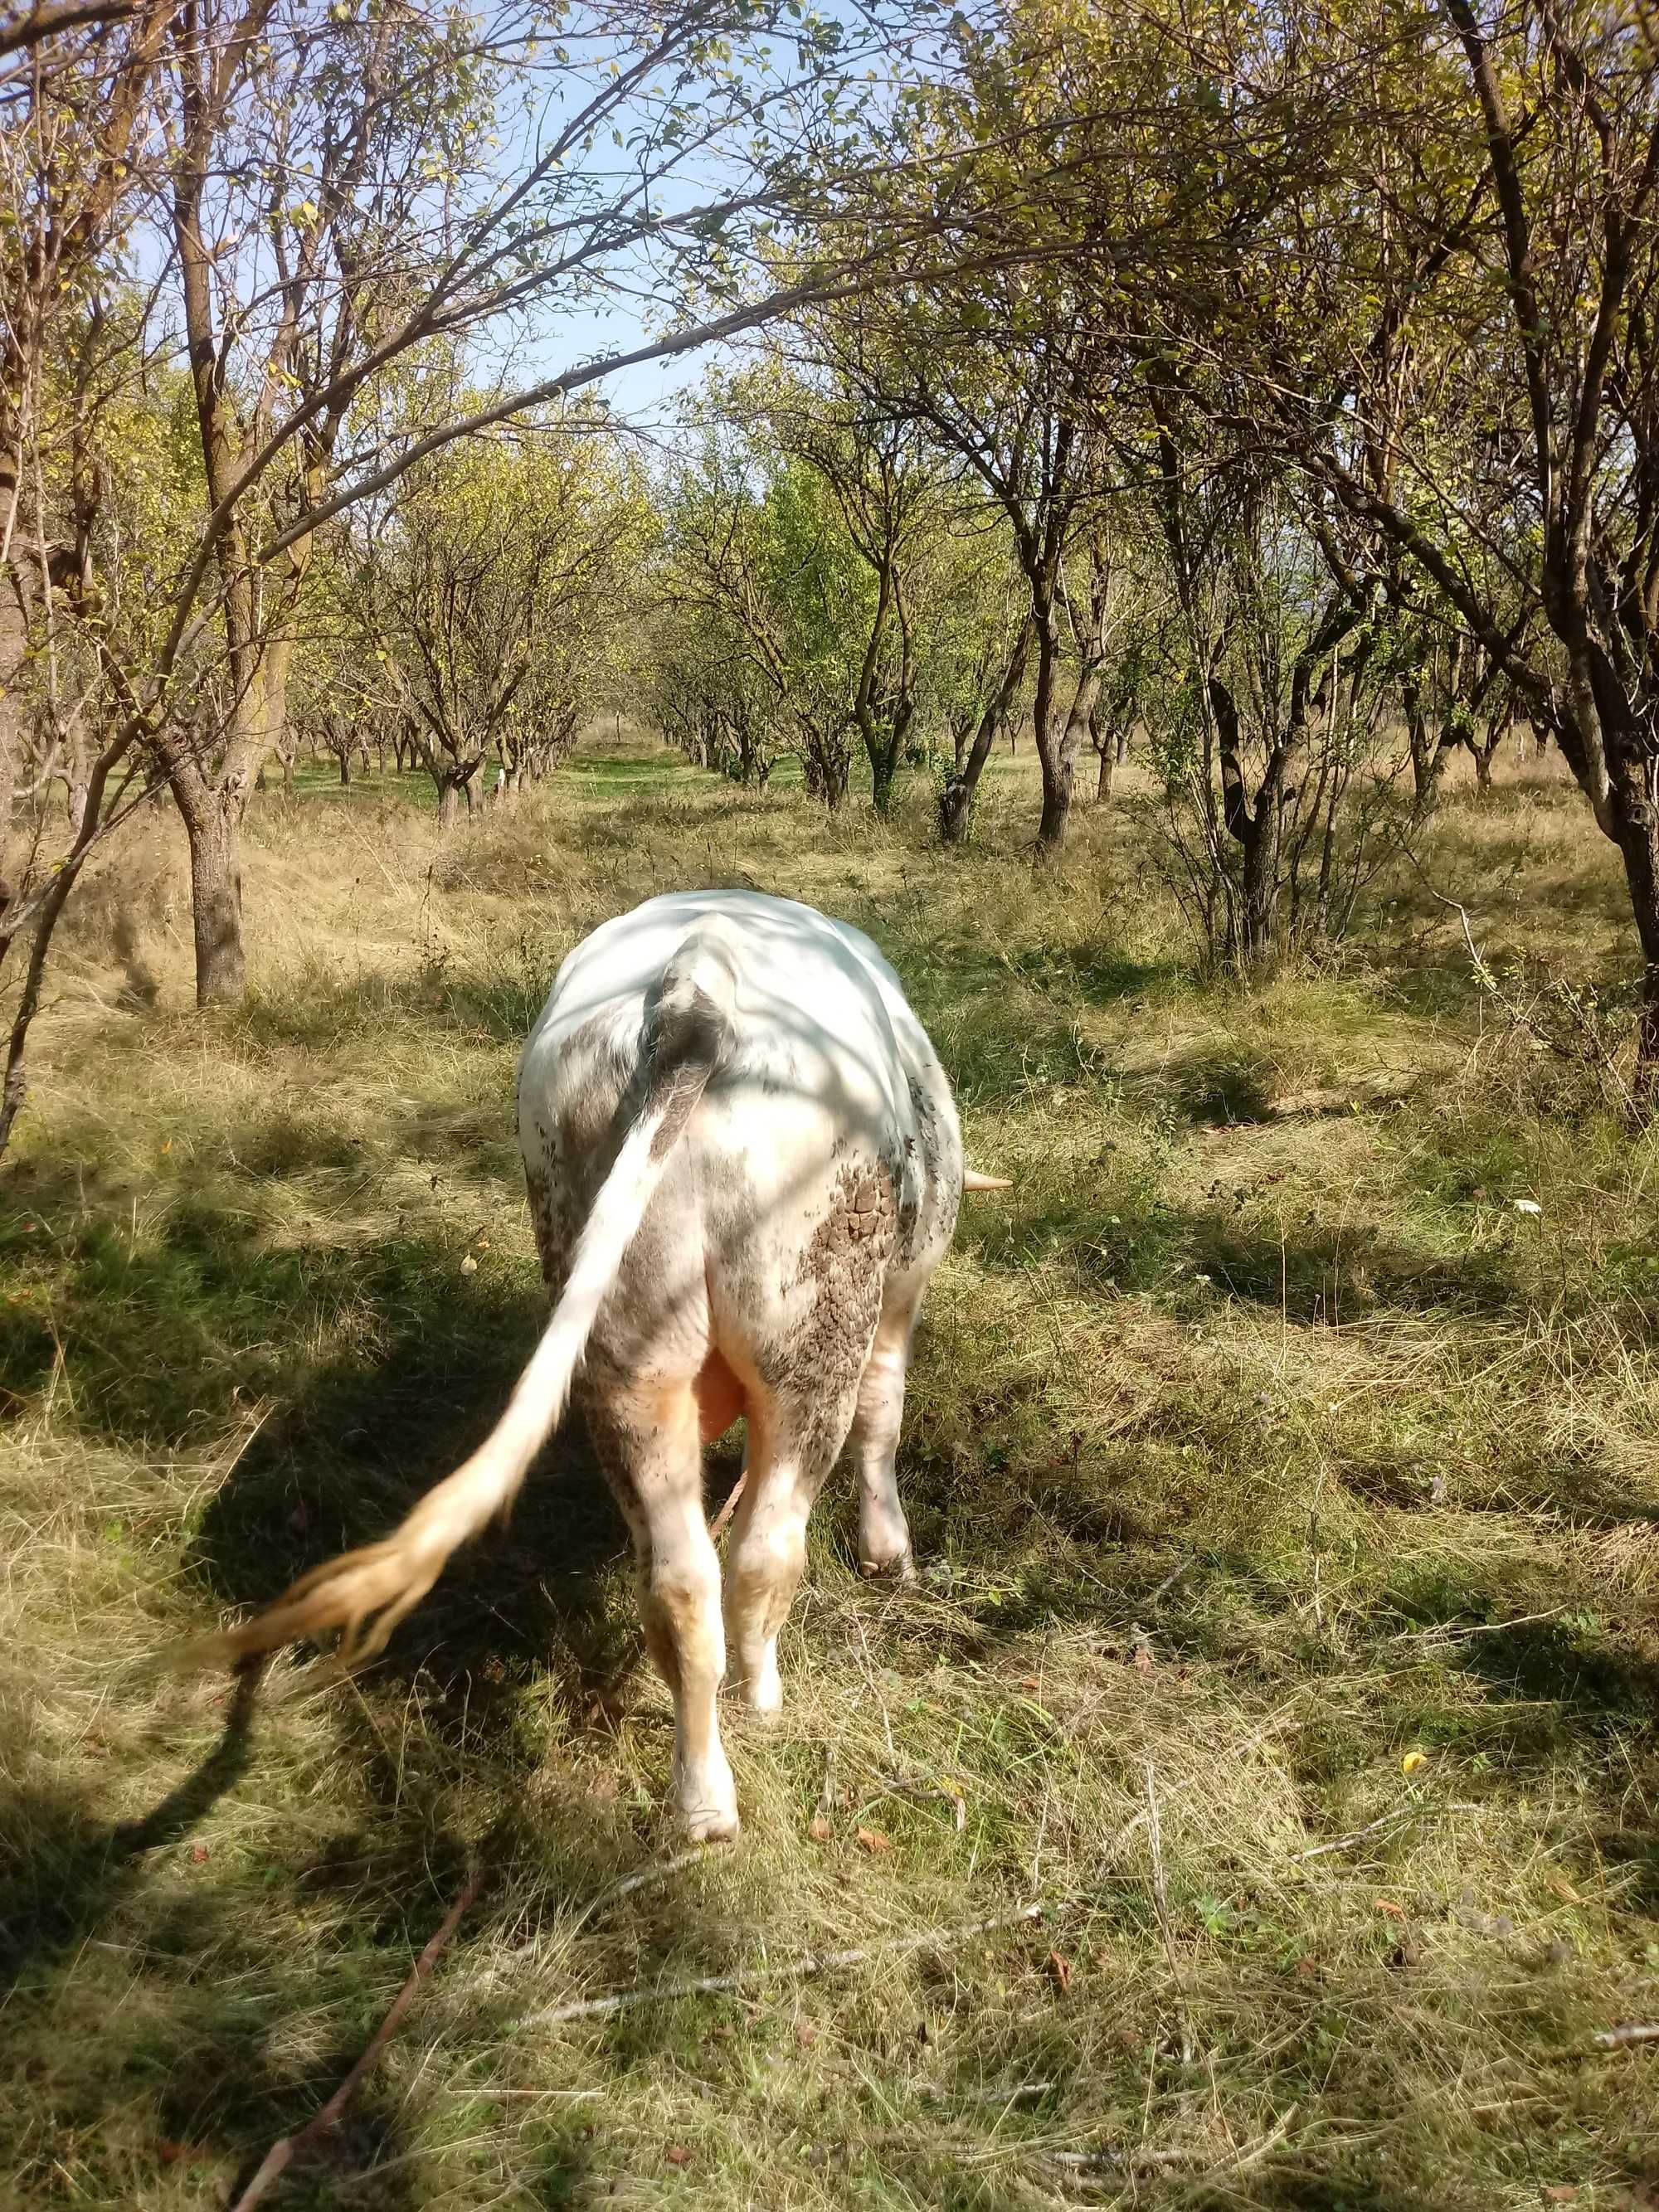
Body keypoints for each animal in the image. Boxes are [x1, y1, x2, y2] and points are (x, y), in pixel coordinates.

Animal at [207, 889, 1013, 1840]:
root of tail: (698, 982)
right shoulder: (903, 1290)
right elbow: (886, 1415)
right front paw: (892, 1556)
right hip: (814, 1327)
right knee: (764, 1551)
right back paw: (761, 1704)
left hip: (626, 1349)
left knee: (678, 1582)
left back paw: (702, 1802)